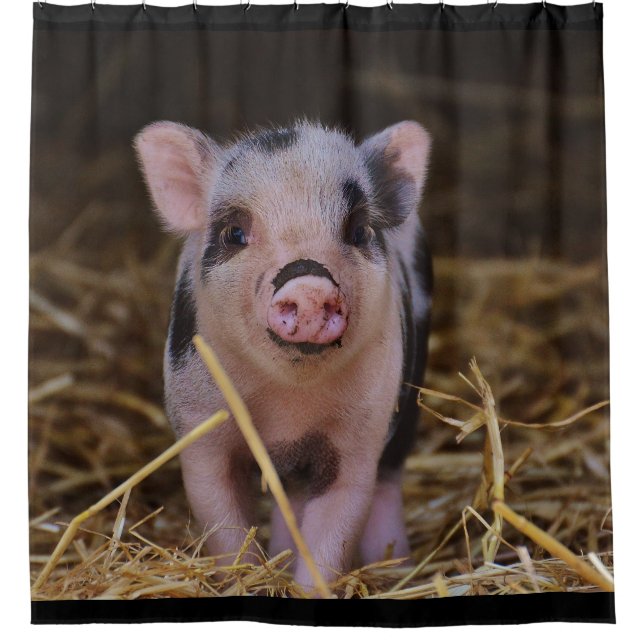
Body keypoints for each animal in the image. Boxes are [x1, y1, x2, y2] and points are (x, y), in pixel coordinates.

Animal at [134, 119, 432, 592]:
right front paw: (247, 578)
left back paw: (397, 569)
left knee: (387, 482)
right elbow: (223, 524)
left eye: (359, 231)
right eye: (234, 233)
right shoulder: (200, 427)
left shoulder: (359, 438)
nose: (308, 285)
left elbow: (335, 528)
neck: (288, 411)